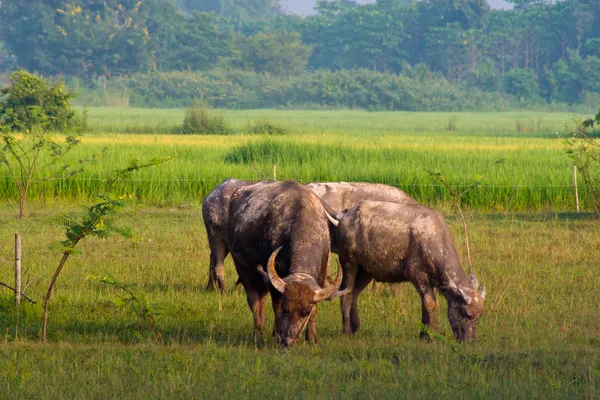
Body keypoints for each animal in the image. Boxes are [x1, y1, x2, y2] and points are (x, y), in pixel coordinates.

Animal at [336, 200, 486, 340]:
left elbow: (425, 303)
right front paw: (432, 334)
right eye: (467, 314)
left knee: (354, 293)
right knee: (345, 293)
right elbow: (430, 303)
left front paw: (424, 334)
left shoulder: (431, 280)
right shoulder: (416, 274)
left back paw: (355, 327)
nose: (469, 340)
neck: (432, 238)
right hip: (349, 263)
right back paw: (346, 331)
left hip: (366, 271)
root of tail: (347, 215)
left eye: (479, 317)